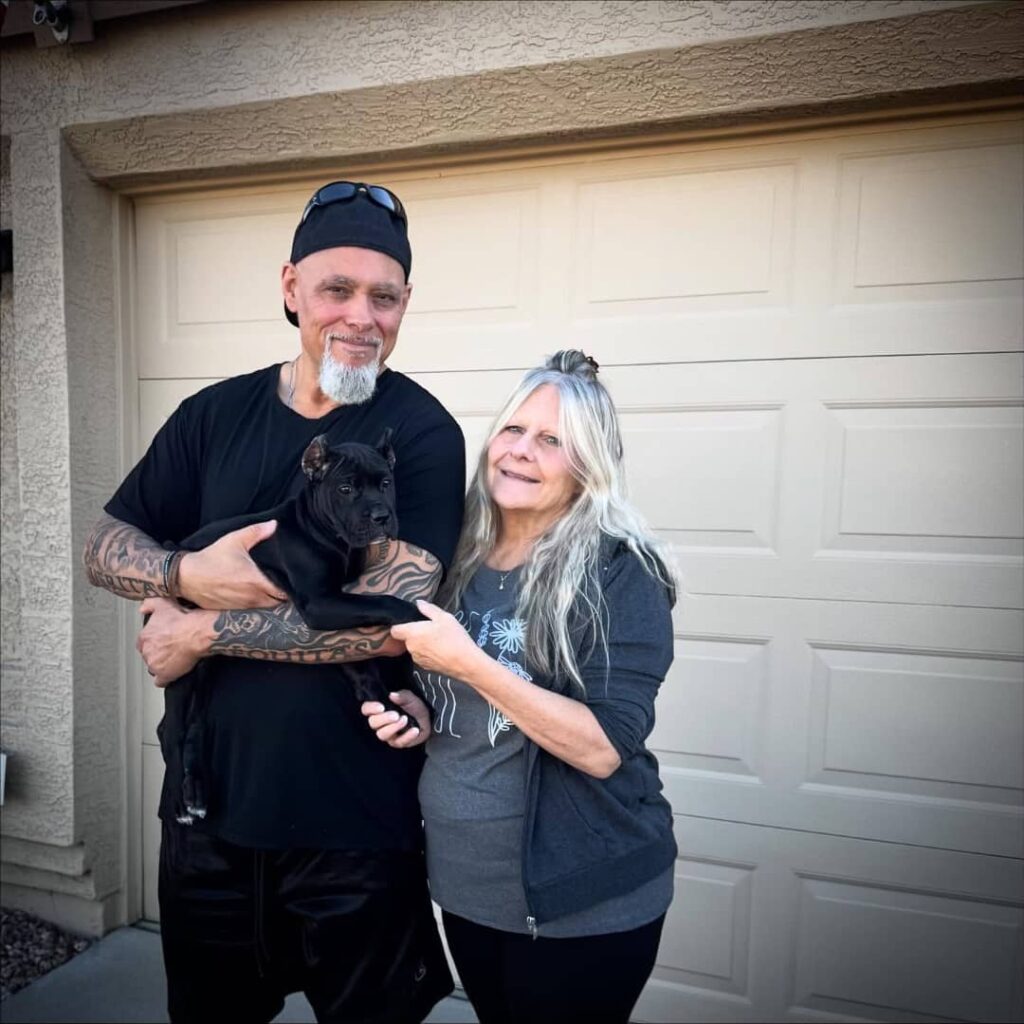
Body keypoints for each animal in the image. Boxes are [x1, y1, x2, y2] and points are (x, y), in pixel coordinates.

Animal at [163, 430, 426, 823]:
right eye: (346, 488)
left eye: (385, 483)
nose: (382, 516)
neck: (325, 532)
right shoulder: (321, 603)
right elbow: (384, 602)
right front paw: (420, 618)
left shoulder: (339, 614)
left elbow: (361, 665)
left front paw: (392, 711)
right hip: (181, 668)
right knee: (173, 732)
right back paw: (181, 802)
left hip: (206, 662)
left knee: (195, 726)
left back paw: (196, 792)